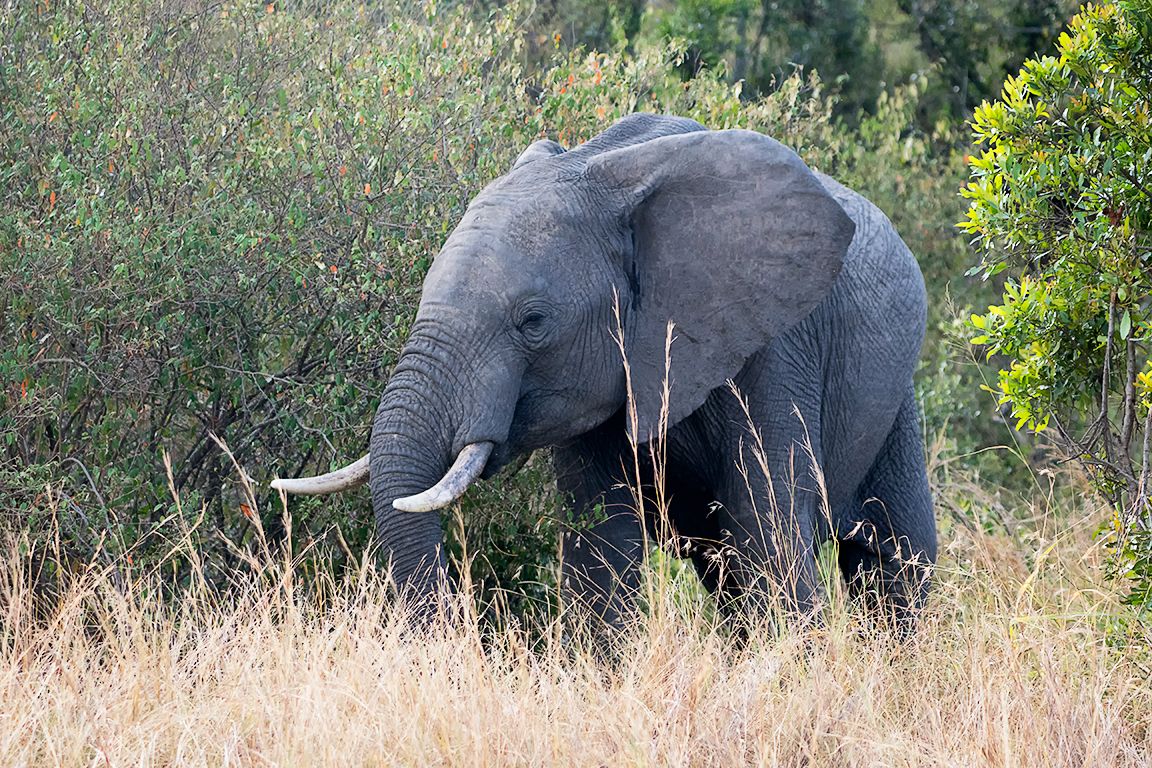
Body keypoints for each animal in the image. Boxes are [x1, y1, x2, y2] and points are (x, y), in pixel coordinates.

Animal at [272, 113, 937, 631]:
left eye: (533, 321)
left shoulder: (773, 343)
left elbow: (765, 527)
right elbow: (599, 543)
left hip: (895, 396)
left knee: (893, 559)